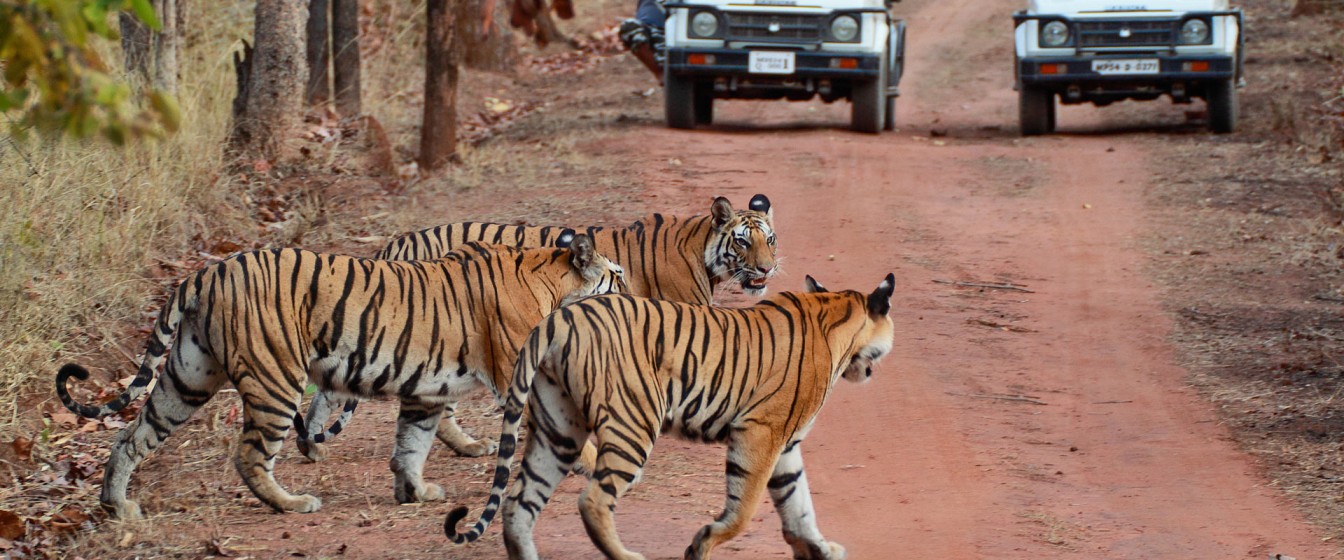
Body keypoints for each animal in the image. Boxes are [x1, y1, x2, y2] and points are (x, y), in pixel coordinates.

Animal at [51, 236, 618, 518]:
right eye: (615, 276)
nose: (630, 289)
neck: (552, 281)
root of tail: (208, 270)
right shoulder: (519, 379)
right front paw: (599, 467)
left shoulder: (427, 392)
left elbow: (412, 443)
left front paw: (414, 492)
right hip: (275, 380)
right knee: (250, 454)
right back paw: (291, 504)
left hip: (188, 377)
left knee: (131, 434)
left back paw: (117, 505)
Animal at [297, 194, 779, 459]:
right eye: (743, 242)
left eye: (769, 239)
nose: (768, 269)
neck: (702, 250)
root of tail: (397, 243)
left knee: (329, 390)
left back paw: (312, 447)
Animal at [446, 271, 897, 558]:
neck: (833, 313)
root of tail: (559, 317)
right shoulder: (761, 433)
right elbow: (744, 509)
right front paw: (700, 545)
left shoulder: (786, 446)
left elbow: (799, 505)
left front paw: (821, 549)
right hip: (633, 423)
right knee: (592, 500)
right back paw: (629, 557)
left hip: (558, 429)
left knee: (518, 504)